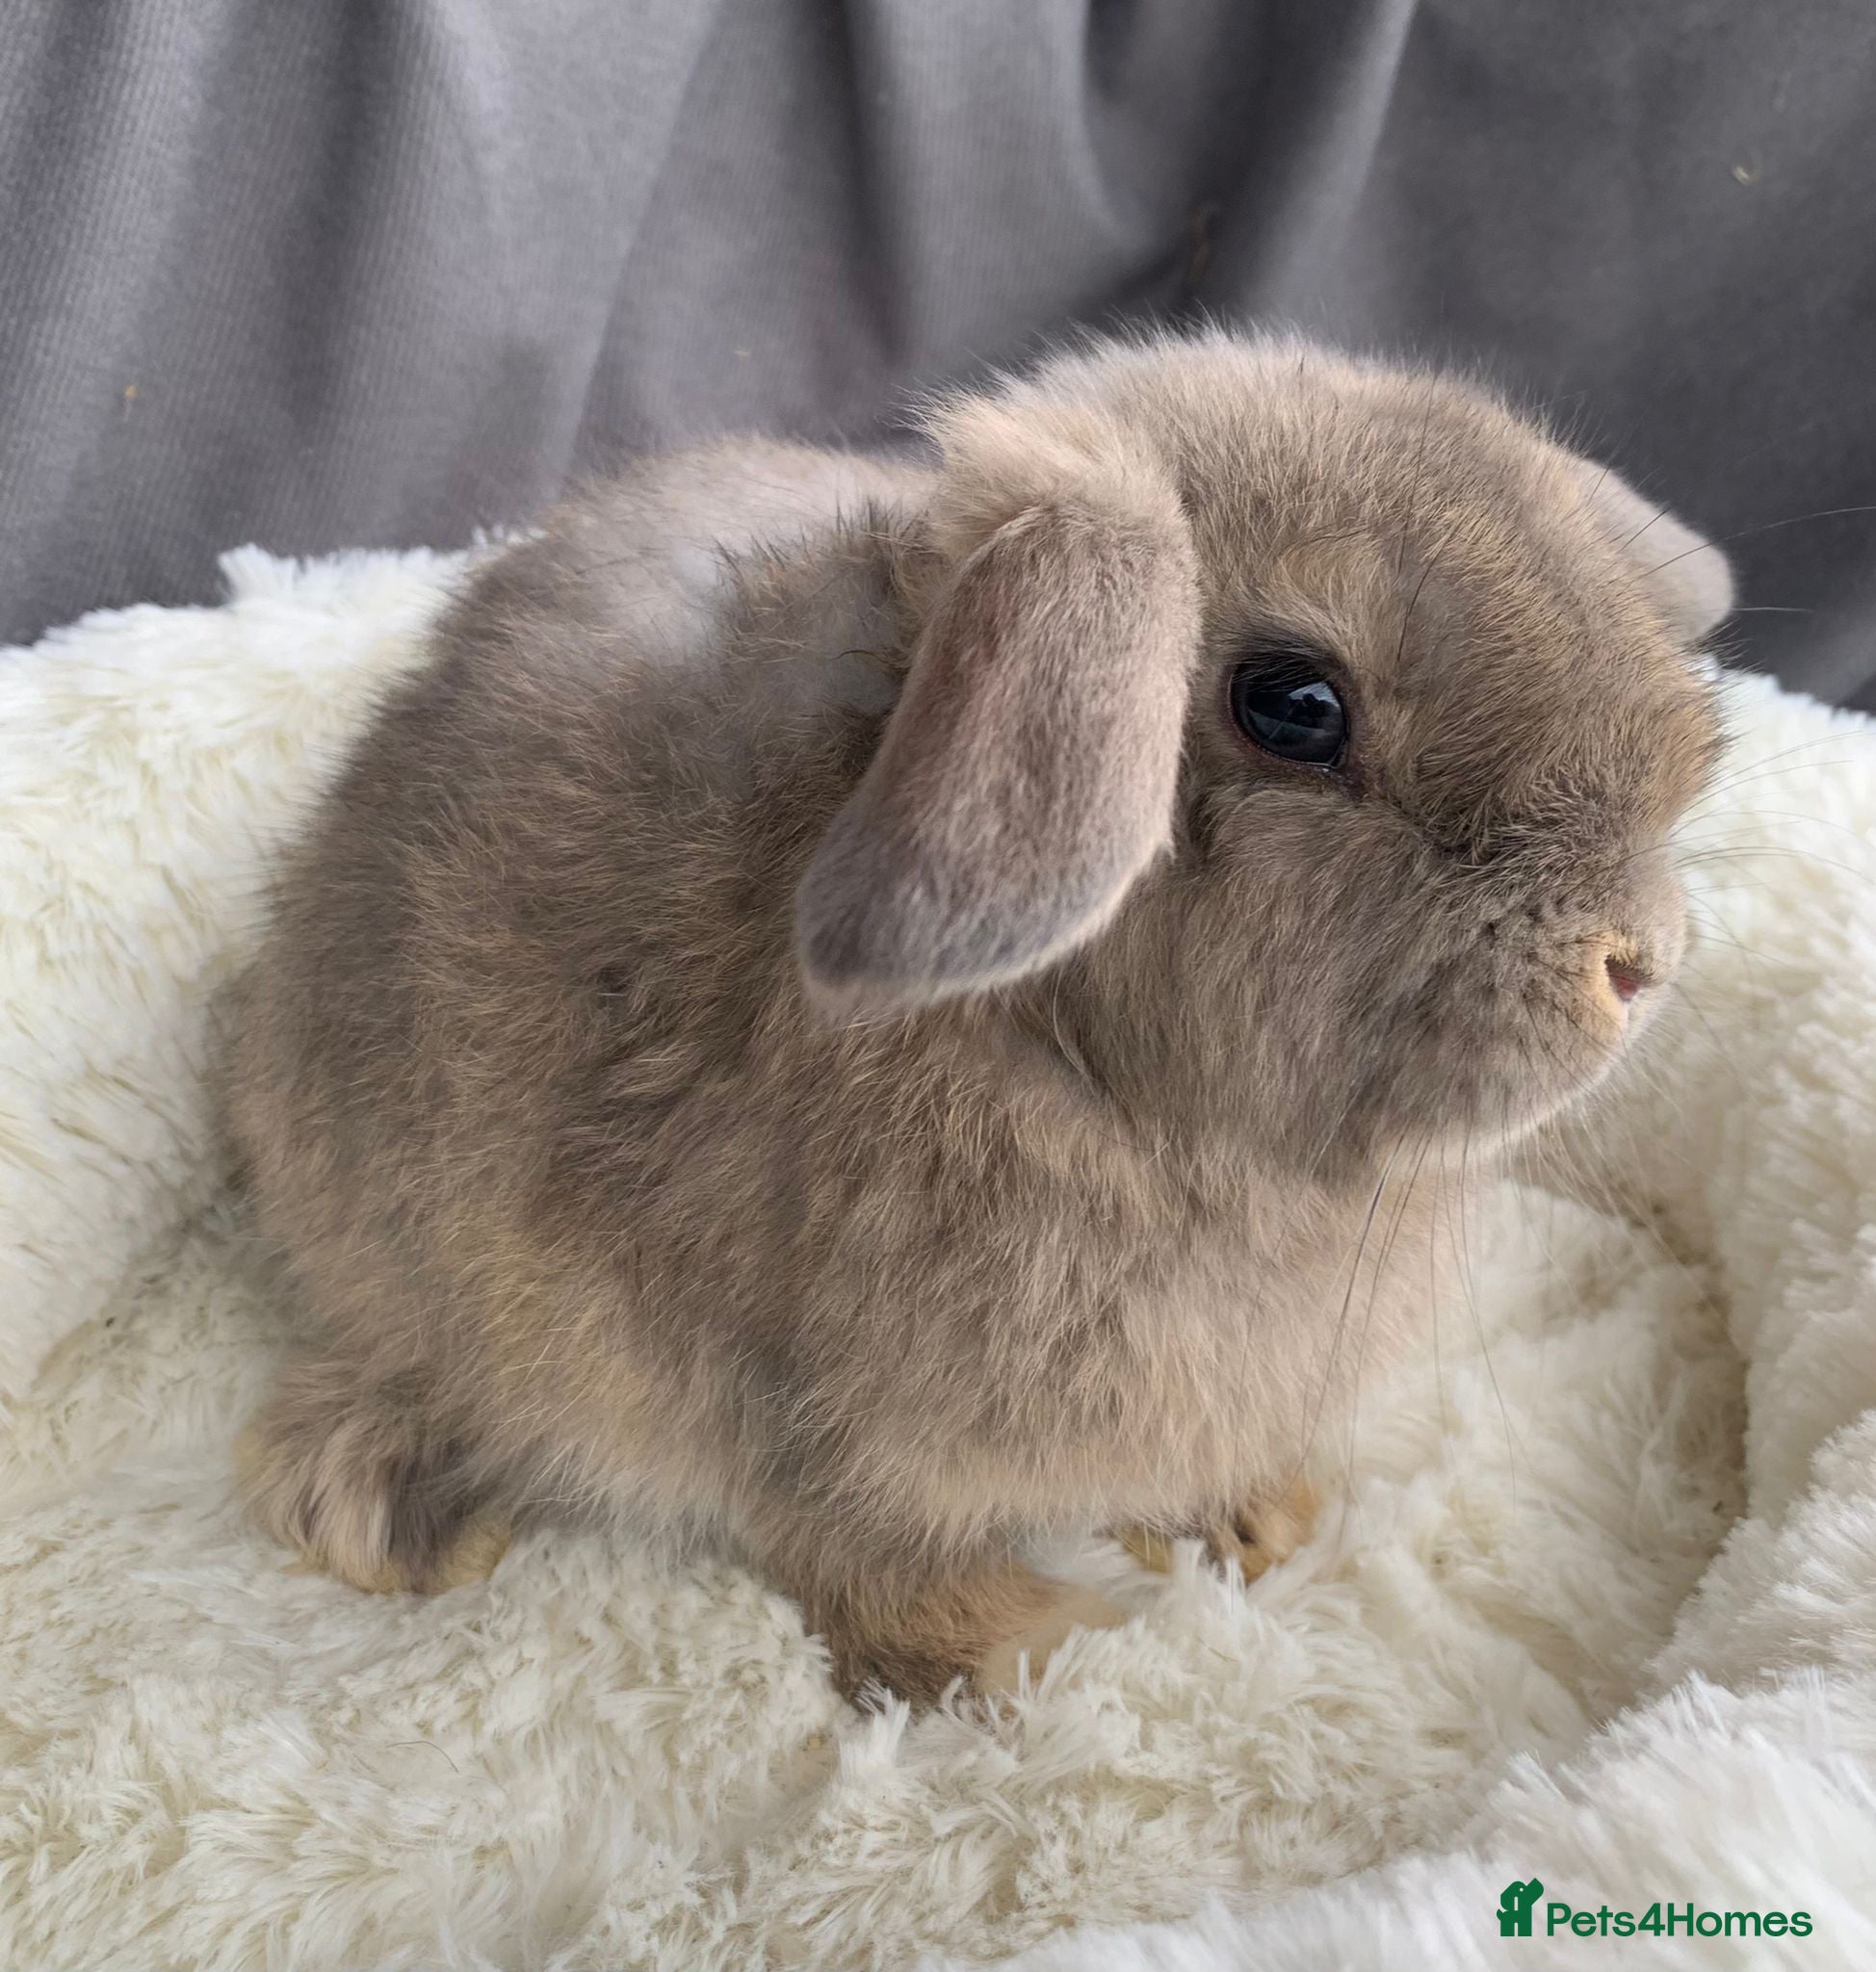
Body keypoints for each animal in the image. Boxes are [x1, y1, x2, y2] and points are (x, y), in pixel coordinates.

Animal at [226, 331, 1732, 1703]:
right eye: (1295, 705)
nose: (1637, 960)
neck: (1068, 1057)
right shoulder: (799, 1418)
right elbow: (863, 1555)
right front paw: (1031, 1648)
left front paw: (1256, 1520)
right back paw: (393, 1511)